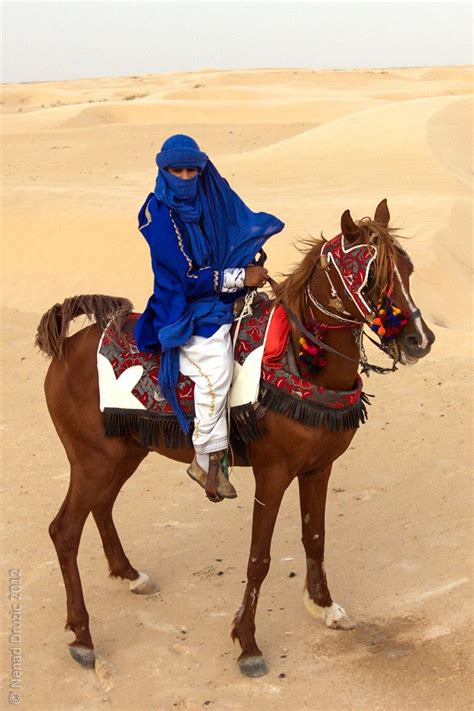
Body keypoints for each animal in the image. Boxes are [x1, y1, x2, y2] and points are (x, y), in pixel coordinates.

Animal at [36, 200, 434, 680]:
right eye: (371, 277)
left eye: (408, 269)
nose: (419, 340)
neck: (300, 361)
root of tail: (66, 345)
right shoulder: (273, 474)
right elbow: (259, 558)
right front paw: (247, 644)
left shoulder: (319, 468)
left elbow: (315, 537)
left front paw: (324, 607)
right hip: (92, 459)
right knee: (64, 531)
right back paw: (83, 637)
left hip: (124, 452)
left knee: (102, 506)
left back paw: (129, 575)